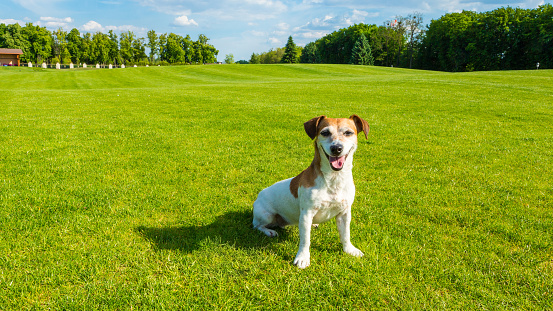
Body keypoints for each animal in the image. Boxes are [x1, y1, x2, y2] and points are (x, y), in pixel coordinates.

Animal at [253, 116, 368, 270]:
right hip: (266, 215)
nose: (336, 148)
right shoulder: (307, 213)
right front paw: (302, 258)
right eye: (325, 133)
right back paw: (269, 231)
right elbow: (305, 240)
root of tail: (258, 196)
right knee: (257, 226)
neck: (333, 179)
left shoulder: (344, 213)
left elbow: (345, 234)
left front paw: (349, 249)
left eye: (348, 133)